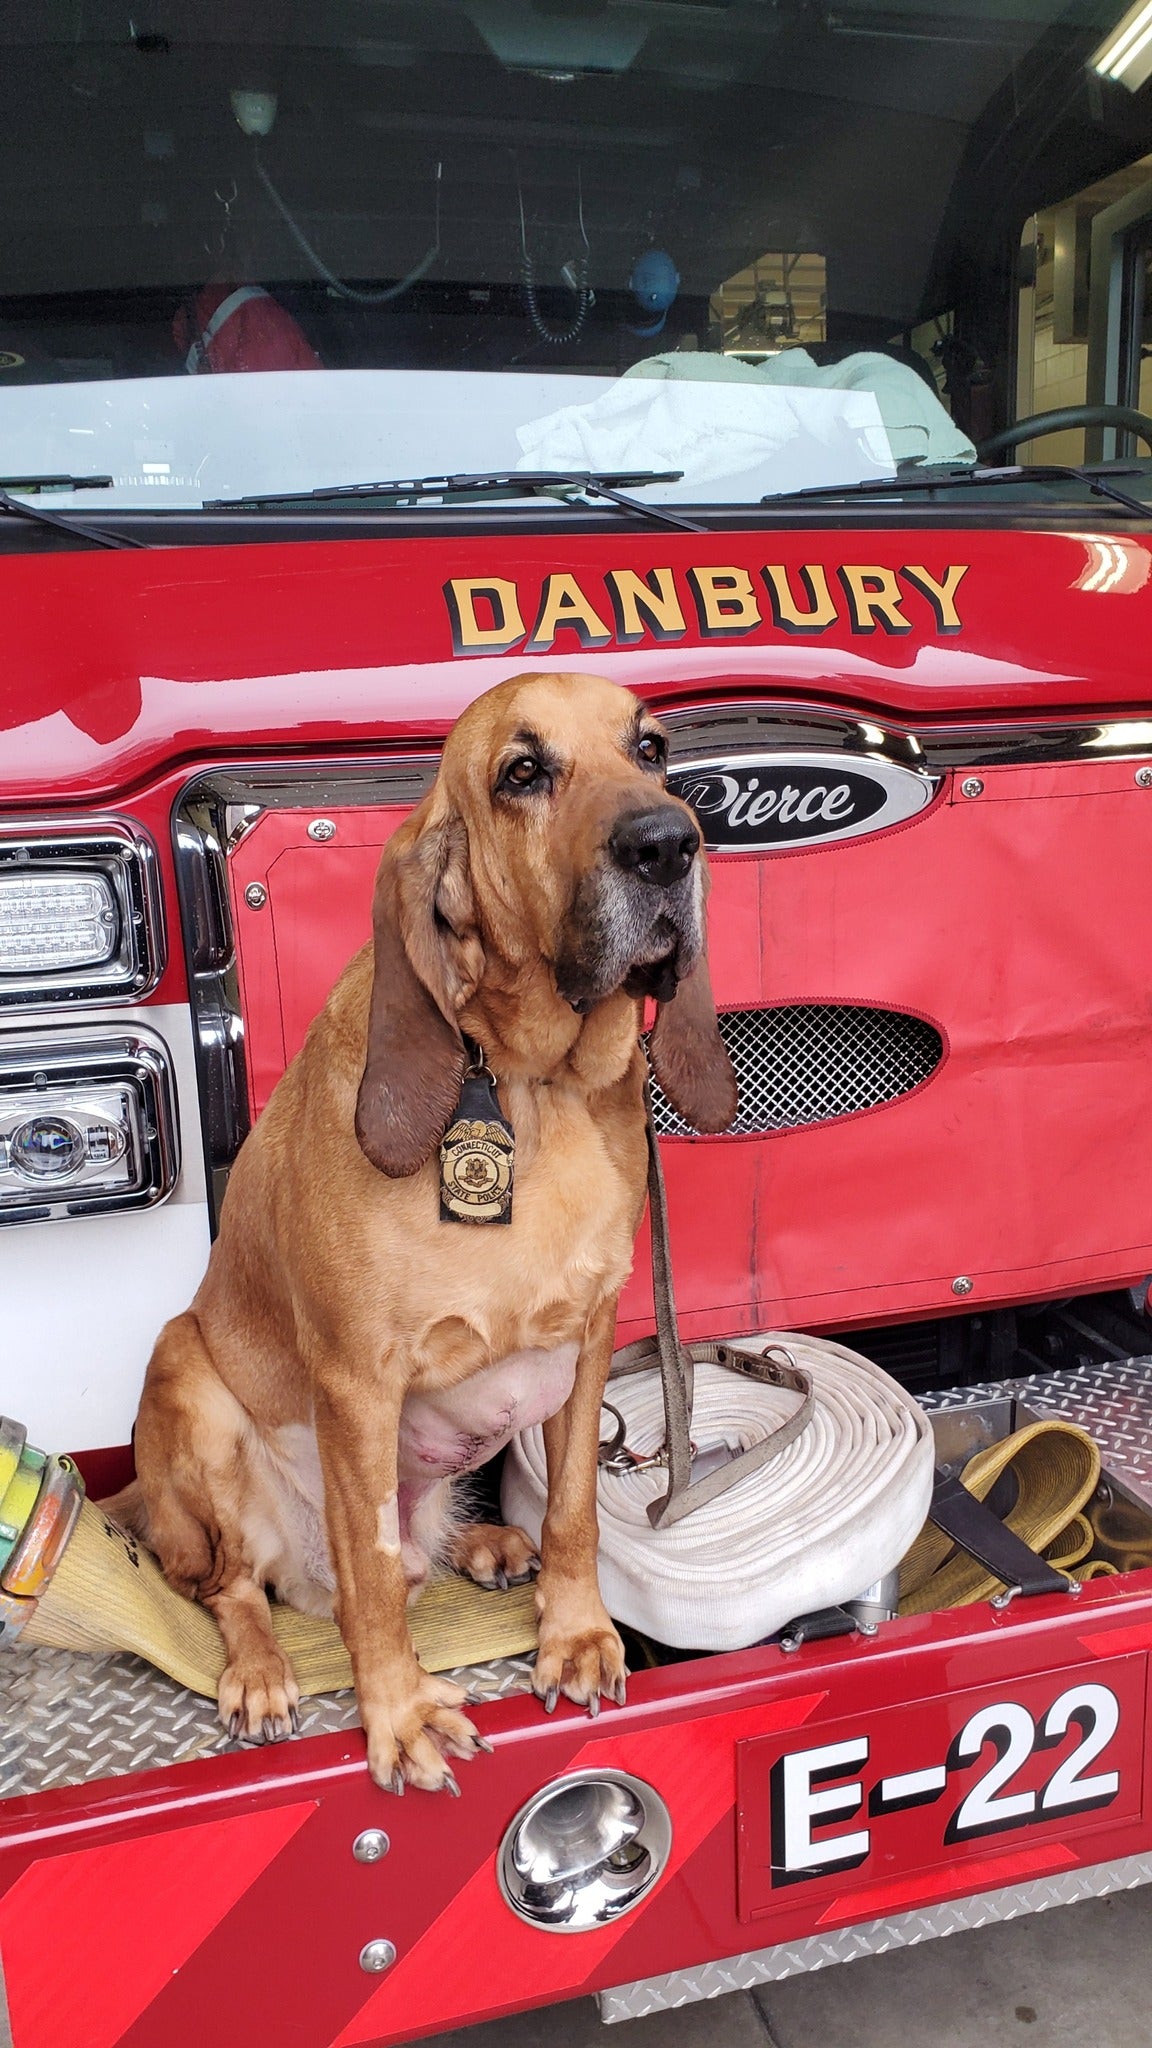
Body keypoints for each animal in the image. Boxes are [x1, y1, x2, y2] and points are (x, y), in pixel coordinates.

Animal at [109, 675, 733, 1794]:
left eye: (652, 748)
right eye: (522, 772)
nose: (669, 843)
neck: (531, 1082)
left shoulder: (589, 1339)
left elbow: (573, 1507)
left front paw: (576, 1633)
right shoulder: (358, 1384)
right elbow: (373, 1577)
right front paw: (398, 1714)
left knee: (414, 1556)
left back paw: (486, 1545)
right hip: (189, 1385)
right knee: (238, 1588)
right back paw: (260, 1672)